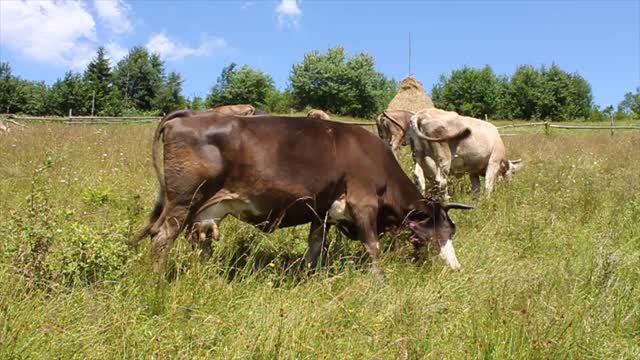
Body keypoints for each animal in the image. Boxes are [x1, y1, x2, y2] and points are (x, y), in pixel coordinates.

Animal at [136, 111, 470, 274]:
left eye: (452, 229)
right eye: (439, 230)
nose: (456, 268)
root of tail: (186, 117)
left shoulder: (321, 213)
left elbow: (313, 248)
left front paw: (307, 277)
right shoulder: (363, 203)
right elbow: (372, 248)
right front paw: (380, 282)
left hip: (201, 209)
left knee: (198, 242)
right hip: (183, 200)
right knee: (161, 238)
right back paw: (156, 282)